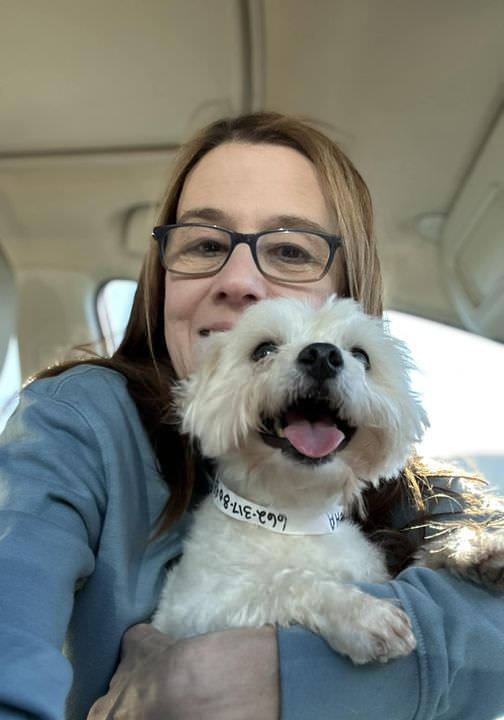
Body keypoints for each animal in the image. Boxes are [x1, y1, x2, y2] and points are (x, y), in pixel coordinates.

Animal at [153, 296, 430, 664]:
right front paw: (362, 615)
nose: (322, 355)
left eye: (361, 356)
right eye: (263, 350)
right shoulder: (192, 611)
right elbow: (285, 582)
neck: (293, 519)